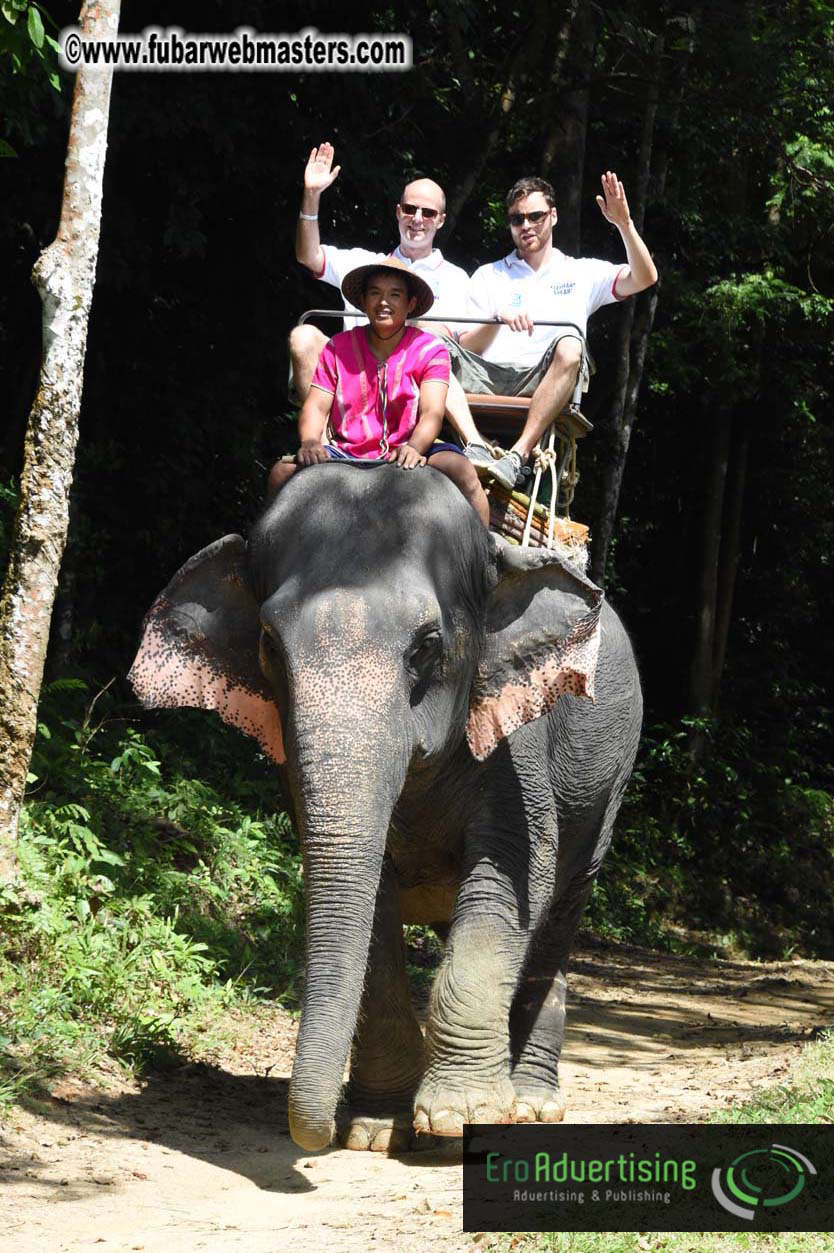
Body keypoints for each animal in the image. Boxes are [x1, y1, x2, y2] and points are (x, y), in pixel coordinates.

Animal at [129, 463, 642, 1153]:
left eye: (426, 644)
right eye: (268, 643)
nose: (312, 1134)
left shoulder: (517, 743)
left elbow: (511, 880)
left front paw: (460, 1116)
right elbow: (371, 904)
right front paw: (377, 1130)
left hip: (608, 788)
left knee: (558, 918)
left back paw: (532, 1104)